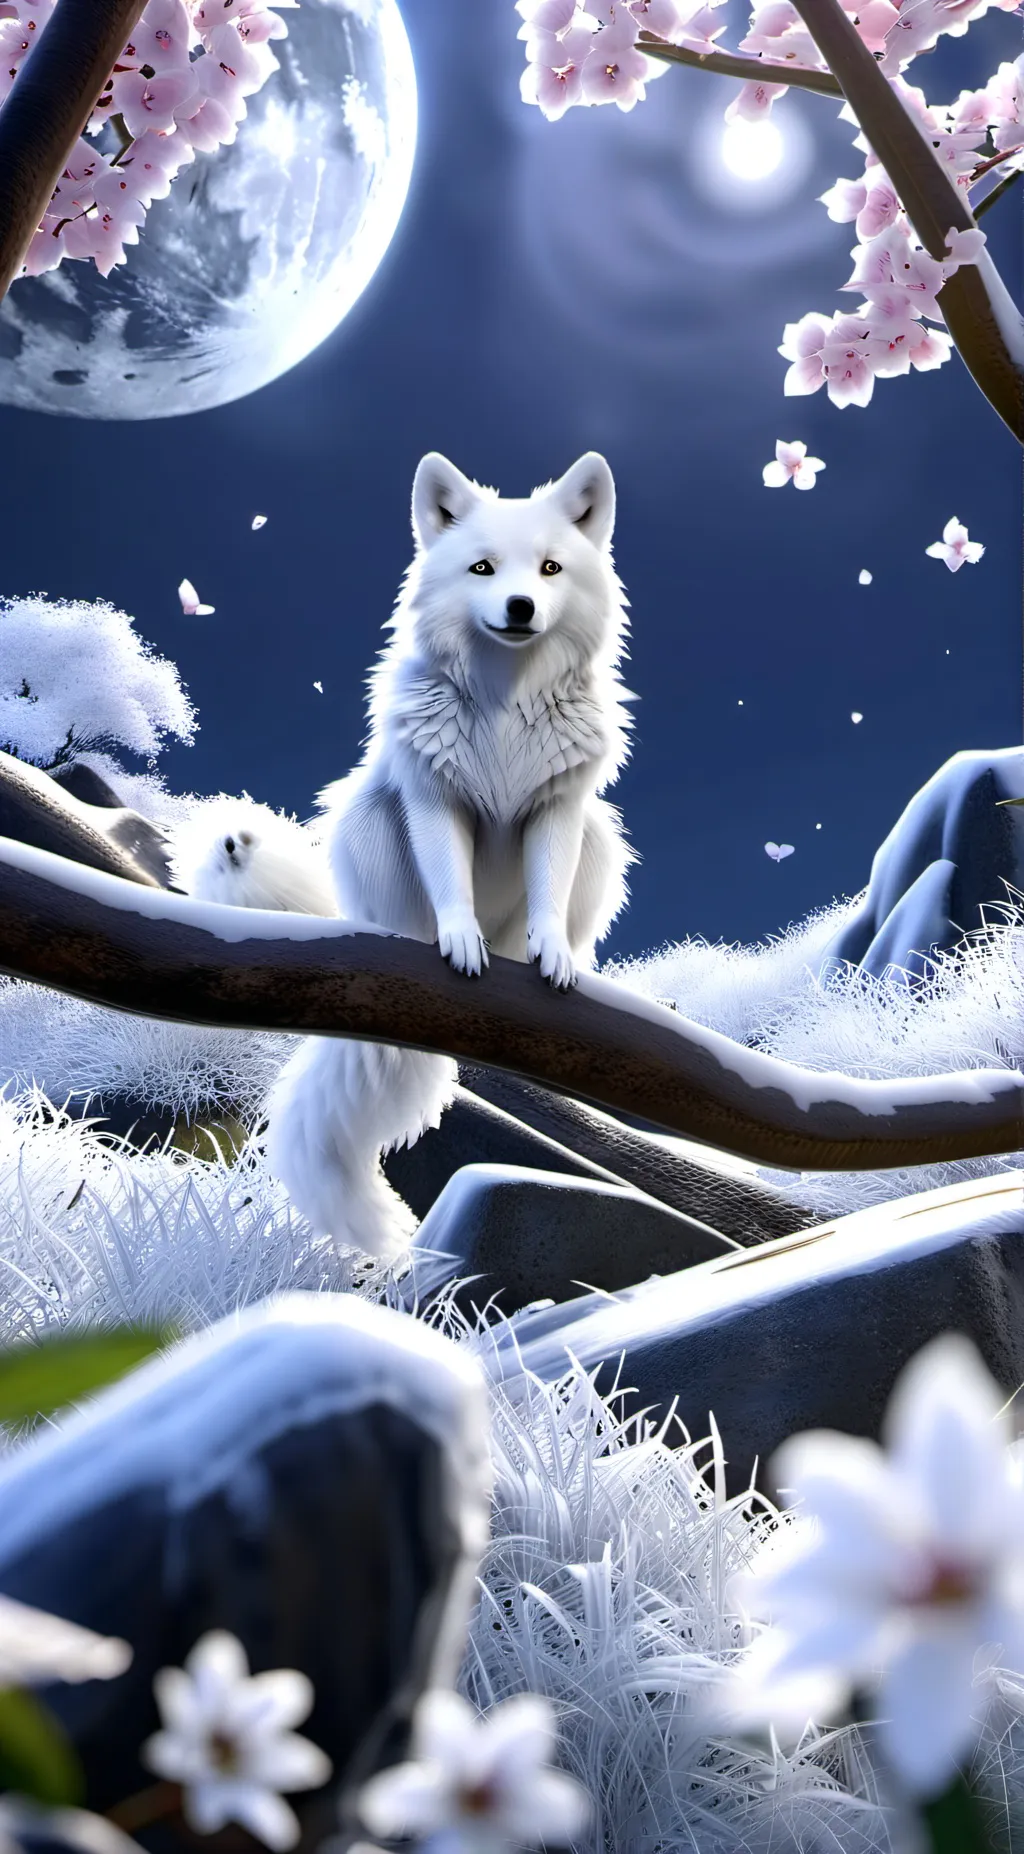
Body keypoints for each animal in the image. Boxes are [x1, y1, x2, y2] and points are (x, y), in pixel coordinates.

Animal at [183, 450, 636, 1260]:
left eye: (550, 568)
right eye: (482, 568)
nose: (521, 606)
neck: (505, 701)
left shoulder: (557, 811)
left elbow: (549, 895)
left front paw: (554, 956)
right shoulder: (433, 799)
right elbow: (449, 883)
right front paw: (458, 942)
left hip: (602, 838)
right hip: (366, 822)